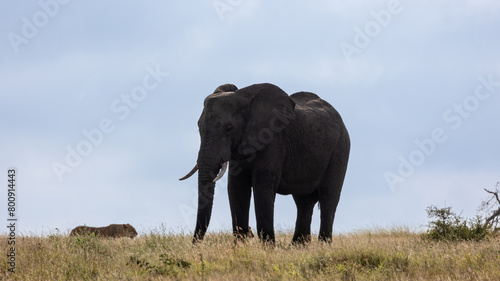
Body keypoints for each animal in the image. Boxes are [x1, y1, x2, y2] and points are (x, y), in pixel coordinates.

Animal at [181, 82, 352, 243]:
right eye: (199, 128)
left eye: (229, 128)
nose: (195, 245)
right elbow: (236, 186)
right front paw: (241, 247)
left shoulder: (273, 140)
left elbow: (263, 184)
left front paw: (268, 248)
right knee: (304, 202)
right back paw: (297, 247)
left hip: (340, 149)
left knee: (328, 197)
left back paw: (323, 246)